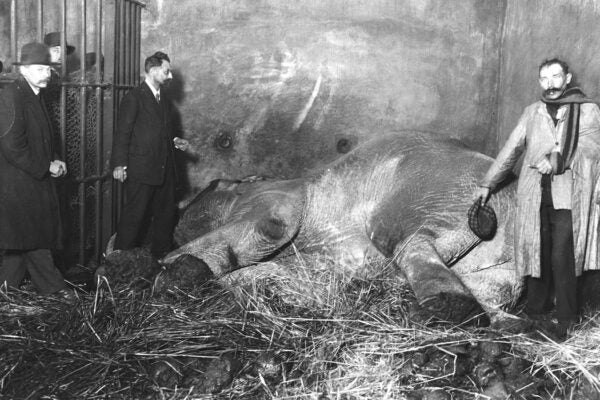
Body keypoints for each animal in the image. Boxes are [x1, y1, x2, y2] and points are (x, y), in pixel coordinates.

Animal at [157, 130, 528, 326]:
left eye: (214, 184)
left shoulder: (275, 198)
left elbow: (268, 226)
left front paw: (167, 268)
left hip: (423, 196)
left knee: (411, 242)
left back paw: (444, 306)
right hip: (495, 271)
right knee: (493, 301)